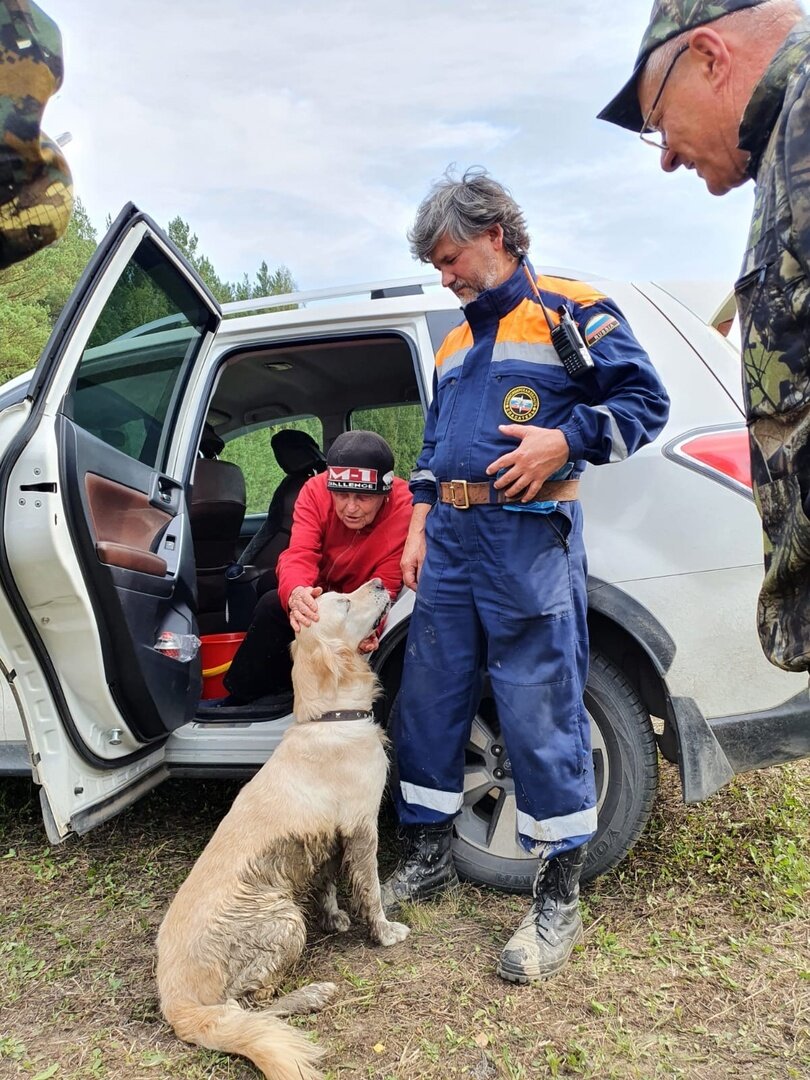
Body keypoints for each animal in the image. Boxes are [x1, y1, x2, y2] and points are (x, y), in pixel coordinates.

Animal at [156, 578, 412, 1075]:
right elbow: (371, 891)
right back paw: (313, 994)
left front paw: (335, 917)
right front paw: (386, 932)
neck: (329, 720)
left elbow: (329, 882)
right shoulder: (362, 828)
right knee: (251, 1007)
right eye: (344, 602)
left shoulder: (332, 835)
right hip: (284, 921)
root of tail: (176, 1003)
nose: (378, 582)